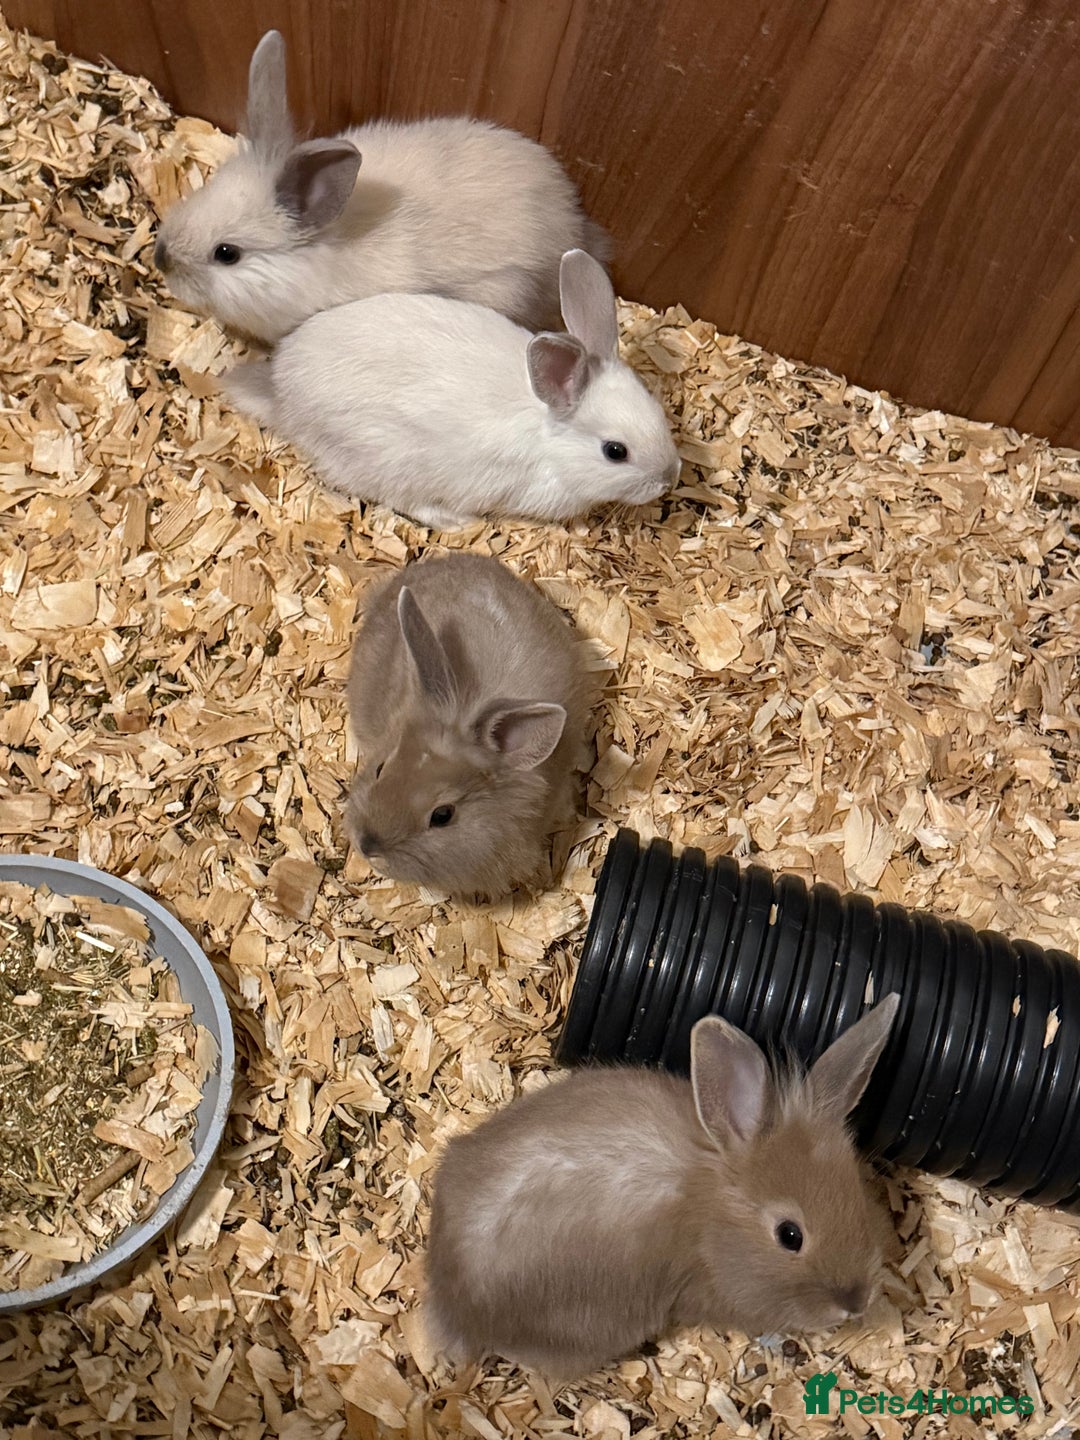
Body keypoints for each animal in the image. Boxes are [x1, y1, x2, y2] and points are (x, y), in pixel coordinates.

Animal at [223, 248, 681, 530]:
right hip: (394, 463)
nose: (669, 478)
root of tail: (282, 393)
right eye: (615, 452)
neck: (549, 437)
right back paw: (456, 522)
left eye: (658, 409)